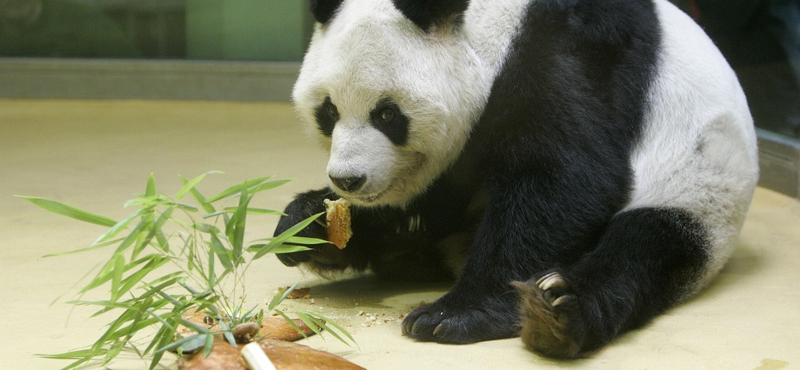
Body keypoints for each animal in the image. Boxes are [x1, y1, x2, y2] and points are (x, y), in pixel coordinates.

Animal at [274, 0, 756, 360]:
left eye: (387, 115)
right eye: (328, 111)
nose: (348, 180)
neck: (497, 24)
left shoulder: (571, 50)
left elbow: (564, 176)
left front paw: (453, 316)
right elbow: (427, 203)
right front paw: (312, 223)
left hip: (701, 192)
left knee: (643, 248)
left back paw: (558, 312)